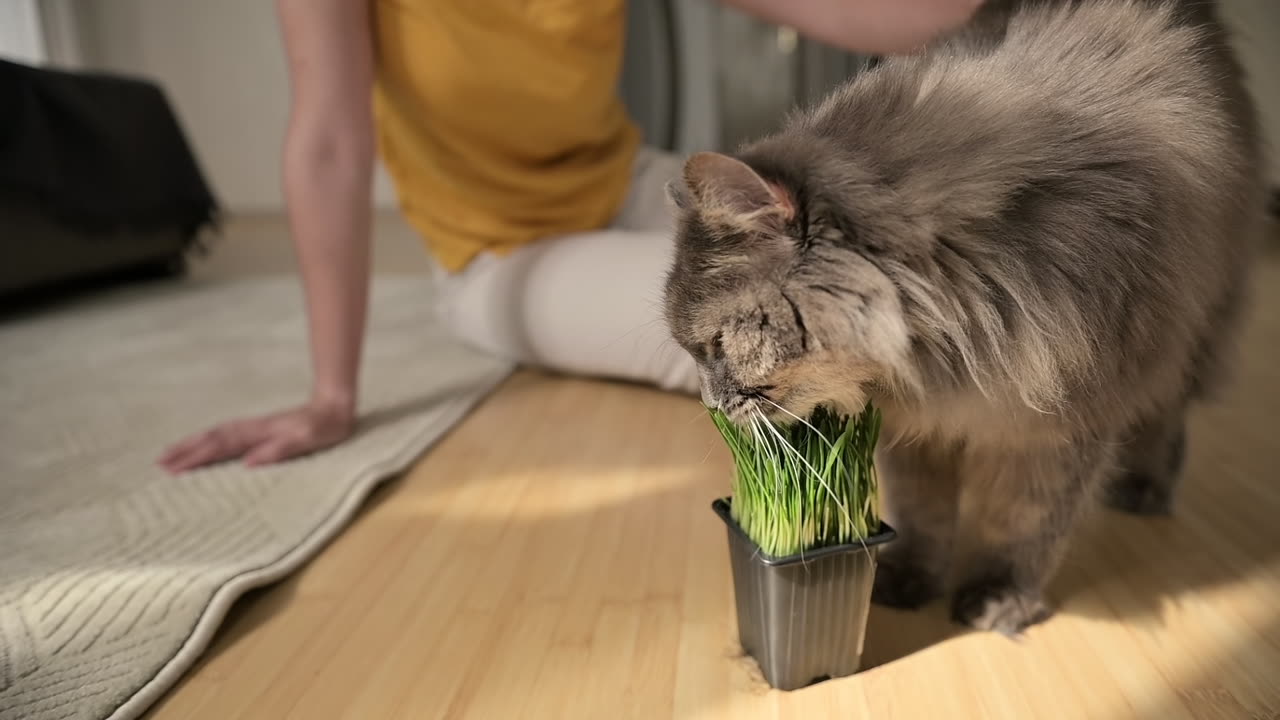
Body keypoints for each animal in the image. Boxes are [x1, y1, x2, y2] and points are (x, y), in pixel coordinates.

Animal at [665, 0, 1264, 630]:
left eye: (716, 344)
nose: (710, 403)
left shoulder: (1065, 421)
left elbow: (1024, 523)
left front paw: (999, 597)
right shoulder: (915, 425)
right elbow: (925, 513)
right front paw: (908, 580)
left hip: (1193, 331)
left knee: (1168, 416)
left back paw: (1145, 489)